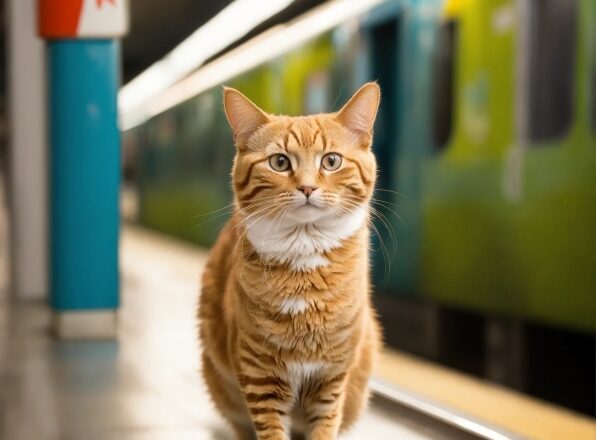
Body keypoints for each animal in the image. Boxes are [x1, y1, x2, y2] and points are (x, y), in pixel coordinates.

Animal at [199, 83, 382, 440]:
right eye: (280, 162)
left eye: (331, 161)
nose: (307, 187)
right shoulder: (260, 375)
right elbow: (270, 431)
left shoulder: (332, 377)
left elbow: (325, 427)